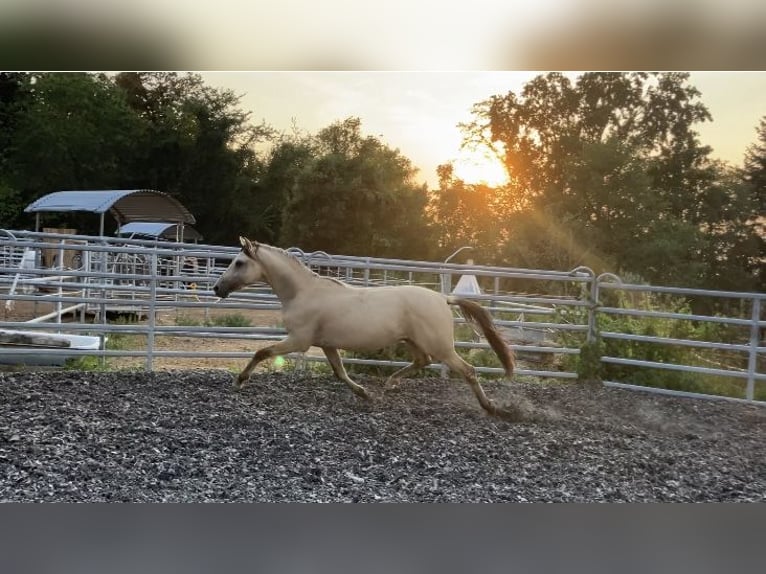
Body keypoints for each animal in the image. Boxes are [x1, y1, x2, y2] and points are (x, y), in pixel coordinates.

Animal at [213, 238, 520, 418]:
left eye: (239, 262)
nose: (217, 288)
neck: (302, 292)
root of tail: (443, 298)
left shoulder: (299, 340)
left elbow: (262, 352)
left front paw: (239, 380)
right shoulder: (327, 344)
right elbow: (339, 372)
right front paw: (364, 393)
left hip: (441, 346)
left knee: (468, 371)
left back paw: (491, 407)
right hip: (413, 341)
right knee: (422, 361)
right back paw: (390, 383)